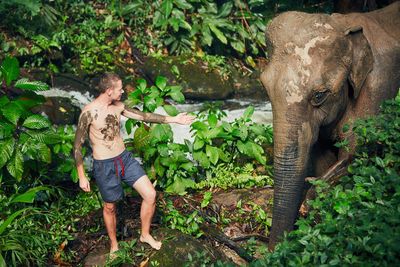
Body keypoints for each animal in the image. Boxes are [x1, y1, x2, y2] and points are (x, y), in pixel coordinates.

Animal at [260, 1, 398, 251]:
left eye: (319, 95)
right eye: (265, 88)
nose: (272, 252)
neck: (344, 24)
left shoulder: (379, 84)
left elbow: (356, 151)